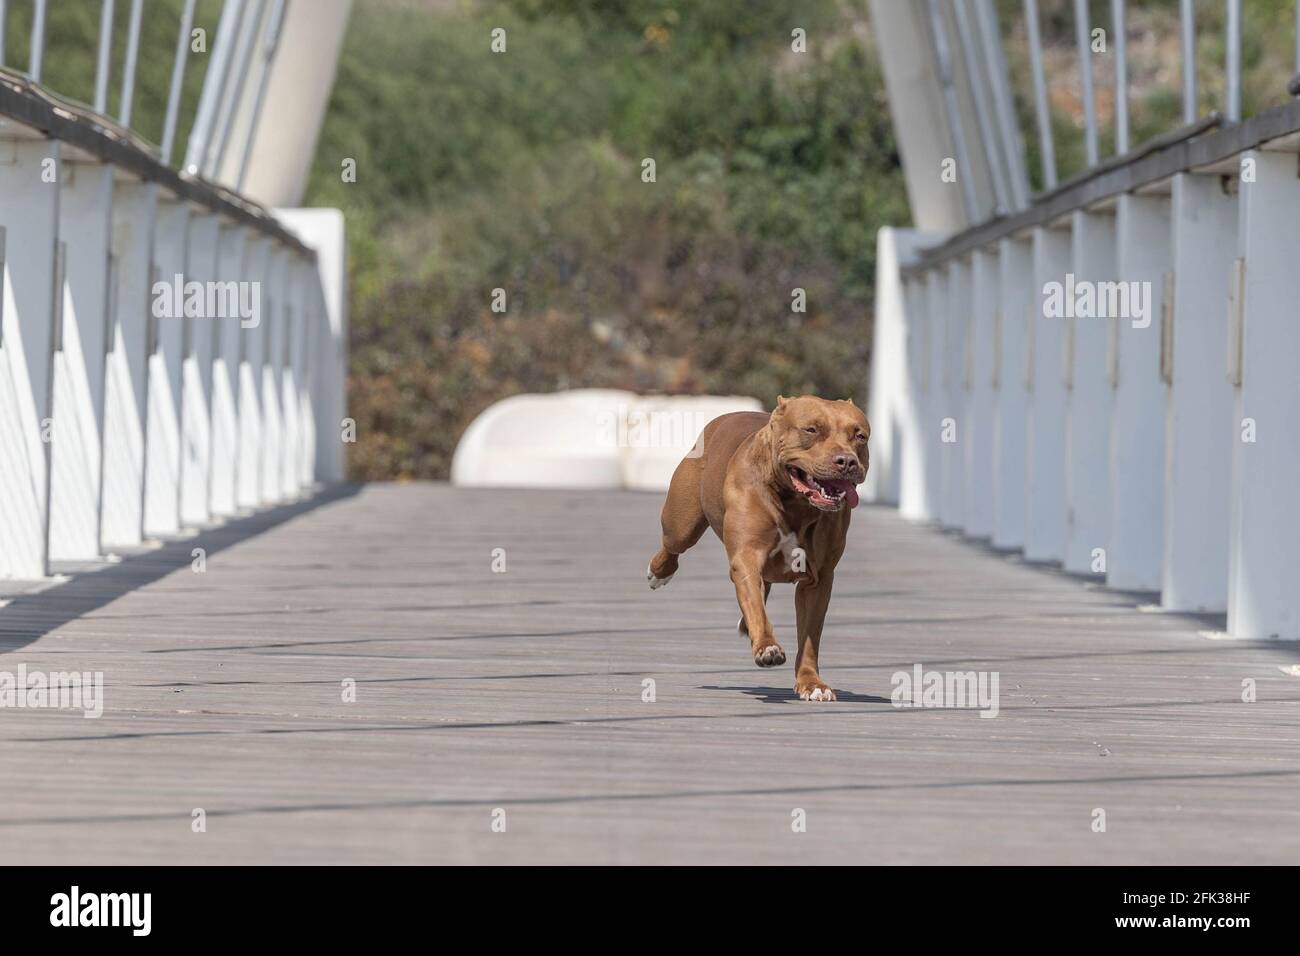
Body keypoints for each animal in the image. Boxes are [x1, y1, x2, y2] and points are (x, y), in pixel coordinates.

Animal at [644, 395, 868, 702]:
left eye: (860, 436)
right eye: (811, 430)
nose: (846, 460)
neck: (795, 503)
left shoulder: (819, 580)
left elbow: (809, 637)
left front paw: (811, 683)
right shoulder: (747, 557)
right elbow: (756, 607)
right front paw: (767, 647)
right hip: (682, 523)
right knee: (674, 544)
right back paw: (659, 572)